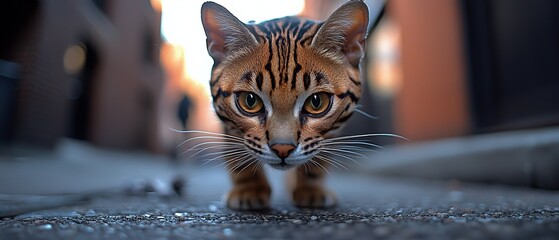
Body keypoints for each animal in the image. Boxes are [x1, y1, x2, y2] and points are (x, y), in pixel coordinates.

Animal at [199, 0, 370, 210]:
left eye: (316, 102)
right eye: (250, 101)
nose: (282, 149)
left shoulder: (332, 130)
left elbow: (318, 157)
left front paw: (310, 188)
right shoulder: (228, 124)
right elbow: (238, 155)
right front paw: (249, 189)